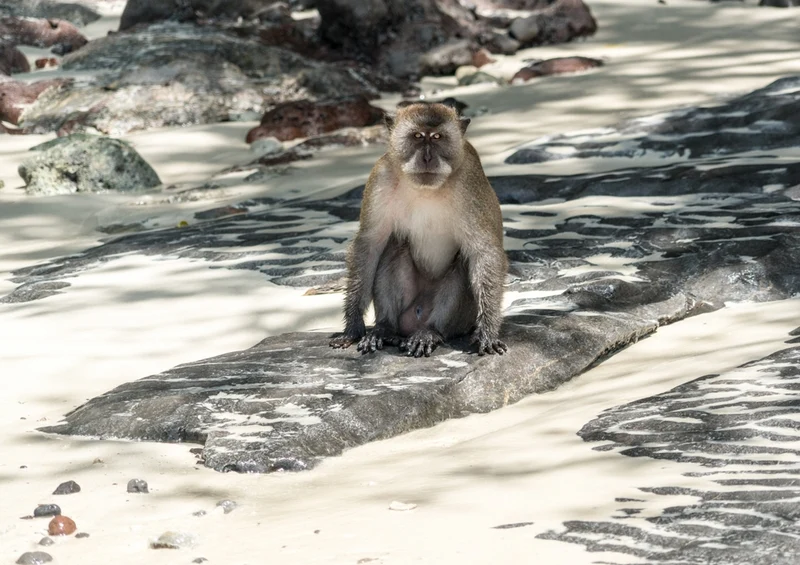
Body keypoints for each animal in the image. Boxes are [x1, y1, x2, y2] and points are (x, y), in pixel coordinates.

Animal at [329, 100, 508, 358]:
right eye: (417, 136)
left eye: (437, 137)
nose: (427, 158)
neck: (426, 189)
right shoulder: (380, 176)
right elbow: (369, 245)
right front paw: (352, 327)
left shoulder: (469, 182)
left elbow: (484, 252)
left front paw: (487, 332)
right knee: (394, 245)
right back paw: (385, 328)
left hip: (460, 320)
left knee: (463, 262)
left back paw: (429, 332)